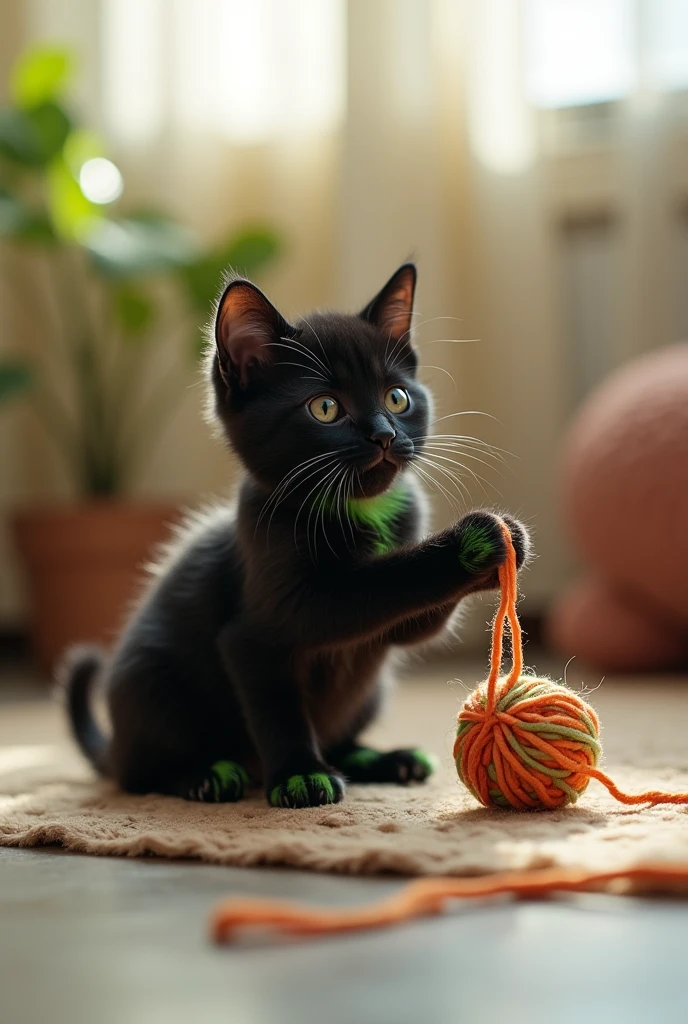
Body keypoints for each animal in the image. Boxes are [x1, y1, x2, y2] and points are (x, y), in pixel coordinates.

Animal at [63, 264, 528, 806]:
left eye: (397, 397)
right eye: (324, 408)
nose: (384, 435)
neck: (359, 509)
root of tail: (114, 746)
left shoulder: (395, 622)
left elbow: (412, 624)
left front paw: (507, 542)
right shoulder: (257, 631)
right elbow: (370, 594)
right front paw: (300, 775)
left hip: (373, 690)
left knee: (343, 735)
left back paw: (386, 759)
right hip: (150, 684)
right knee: (139, 775)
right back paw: (204, 775)